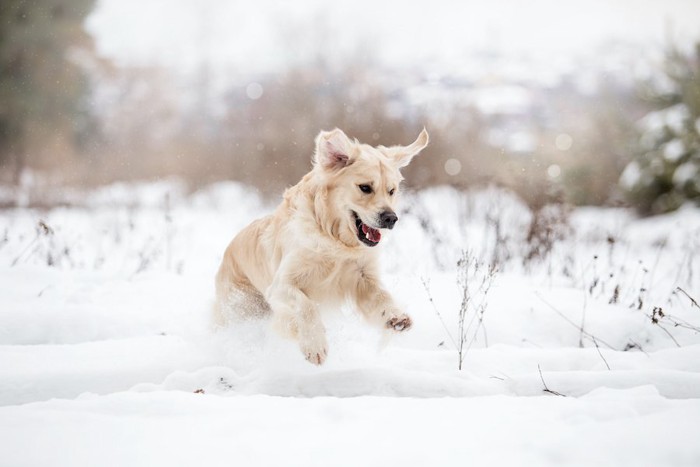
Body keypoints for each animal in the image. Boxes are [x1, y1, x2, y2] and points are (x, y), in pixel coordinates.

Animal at [216, 127, 430, 366]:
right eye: (365, 188)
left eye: (391, 191)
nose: (391, 218)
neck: (336, 240)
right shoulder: (281, 284)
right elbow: (306, 306)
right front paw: (314, 345)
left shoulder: (362, 278)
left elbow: (382, 296)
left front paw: (396, 316)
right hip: (239, 309)